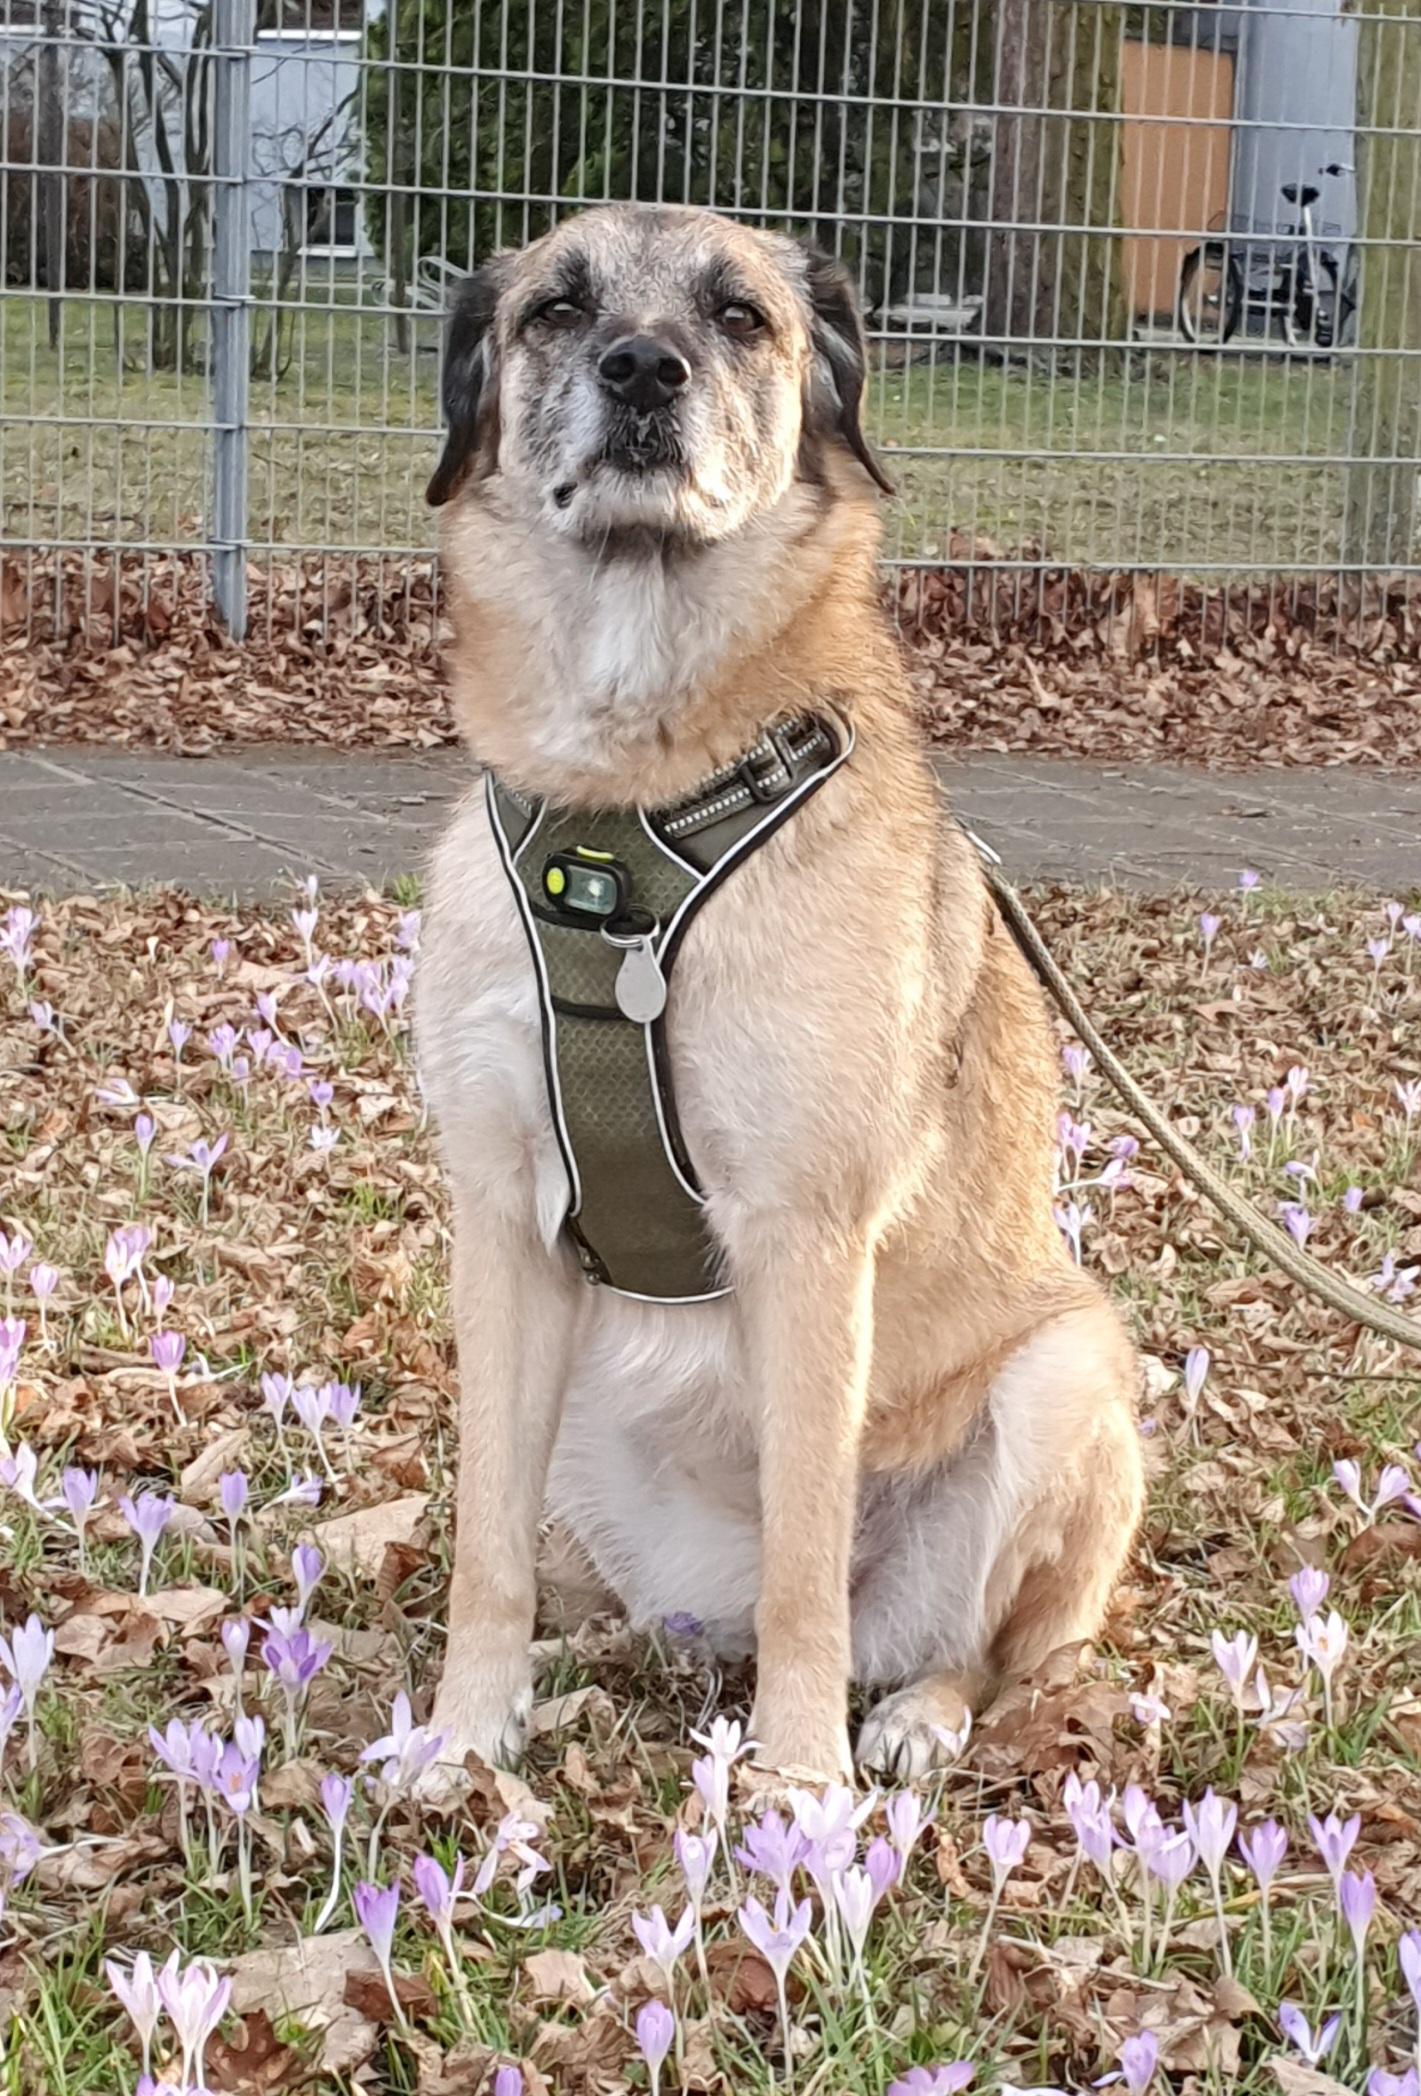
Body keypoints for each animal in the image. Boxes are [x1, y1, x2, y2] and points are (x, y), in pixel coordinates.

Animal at [416, 202, 1143, 1783]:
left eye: (738, 315)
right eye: (557, 308)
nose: (640, 368)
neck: (624, 819)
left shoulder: (807, 1238)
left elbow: (808, 1560)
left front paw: (796, 1782)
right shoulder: (501, 1229)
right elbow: (484, 1545)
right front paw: (460, 1734)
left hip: (1066, 1371)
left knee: (968, 1645)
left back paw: (911, 1716)